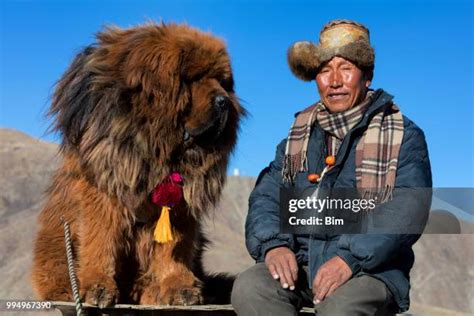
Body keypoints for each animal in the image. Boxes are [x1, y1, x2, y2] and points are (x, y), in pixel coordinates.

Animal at [31, 23, 244, 308]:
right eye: (192, 78)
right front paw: (97, 285)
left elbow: (174, 246)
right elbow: (101, 239)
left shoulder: (179, 205)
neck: (156, 144)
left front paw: (178, 285)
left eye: (222, 81)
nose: (224, 102)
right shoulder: (104, 193)